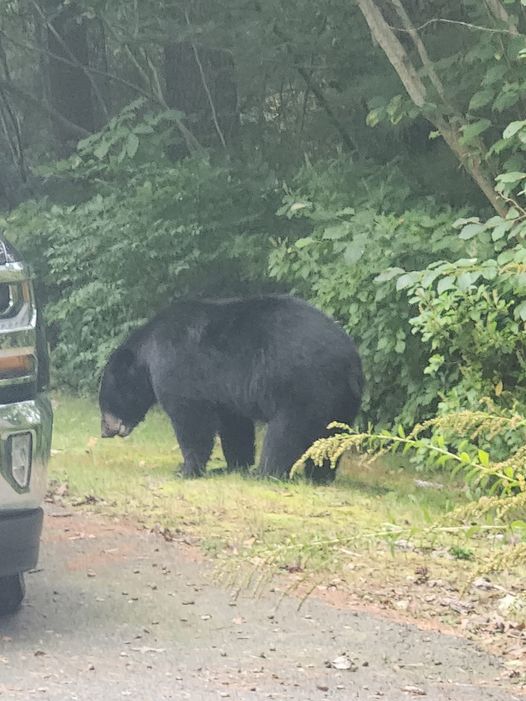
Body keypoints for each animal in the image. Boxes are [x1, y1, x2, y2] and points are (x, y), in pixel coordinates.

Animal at [99, 295, 363, 483]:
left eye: (105, 401)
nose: (104, 431)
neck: (148, 355)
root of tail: (349, 359)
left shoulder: (178, 366)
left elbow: (191, 420)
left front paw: (186, 469)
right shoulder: (225, 392)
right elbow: (234, 425)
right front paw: (233, 465)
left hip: (302, 387)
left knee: (286, 433)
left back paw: (265, 473)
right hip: (340, 401)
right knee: (331, 438)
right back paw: (319, 476)